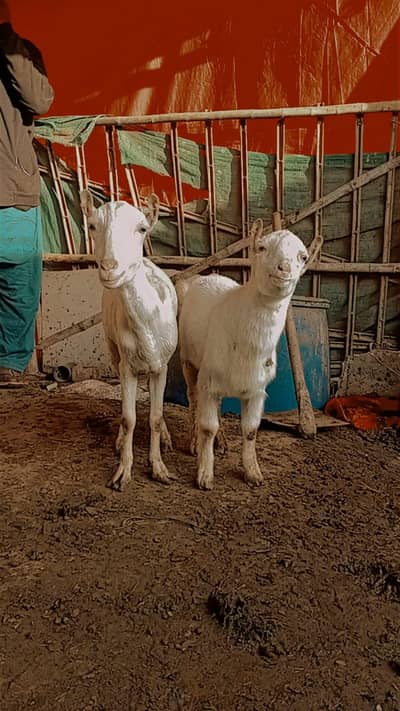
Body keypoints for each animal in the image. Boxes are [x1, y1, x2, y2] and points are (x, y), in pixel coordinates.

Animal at [80, 190, 178, 491]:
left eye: (142, 229)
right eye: (92, 225)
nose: (110, 267)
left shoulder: (162, 365)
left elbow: (155, 417)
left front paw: (159, 467)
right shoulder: (126, 365)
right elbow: (129, 418)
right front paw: (123, 470)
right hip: (112, 348)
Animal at [176, 221, 311, 490]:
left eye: (303, 257)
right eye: (261, 247)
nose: (284, 269)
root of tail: (204, 277)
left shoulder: (257, 390)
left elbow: (250, 430)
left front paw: (253, 473)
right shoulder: (208, 378)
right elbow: (207, 427)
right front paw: (204, 474)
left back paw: (222, 442)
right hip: (189, 360)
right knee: (193, 397)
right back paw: (195, 442)